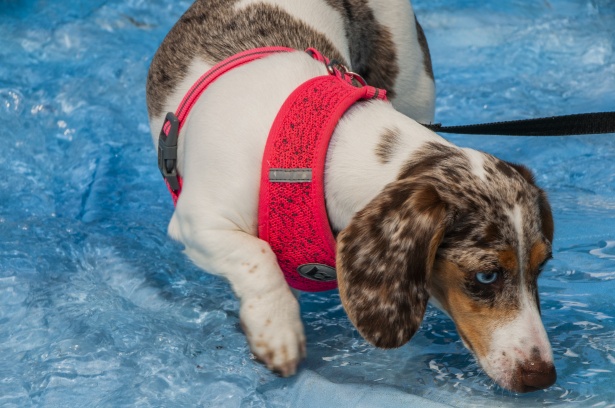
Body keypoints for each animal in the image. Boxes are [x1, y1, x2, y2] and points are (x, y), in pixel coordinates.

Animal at [146, 0, 560, 394]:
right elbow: (257, 255)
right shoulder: (199, 221)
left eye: (541, 266)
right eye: (486, 276)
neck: (320, 151)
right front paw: (277, 328)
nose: (543, 377)